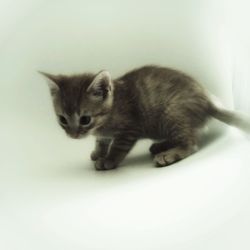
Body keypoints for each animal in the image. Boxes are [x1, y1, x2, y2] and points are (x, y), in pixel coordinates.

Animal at [39, 64, 250, 170]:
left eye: (85, 119)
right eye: (63, 119)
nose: (73, 135)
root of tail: (208, 101)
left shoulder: (129, 130)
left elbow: (117, 147)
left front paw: (108, 161)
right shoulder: (103, 133)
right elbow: (101, 141)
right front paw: (98, 152)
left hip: (172, 112)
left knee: (191, 142)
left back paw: (169, 153)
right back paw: (160, 145)